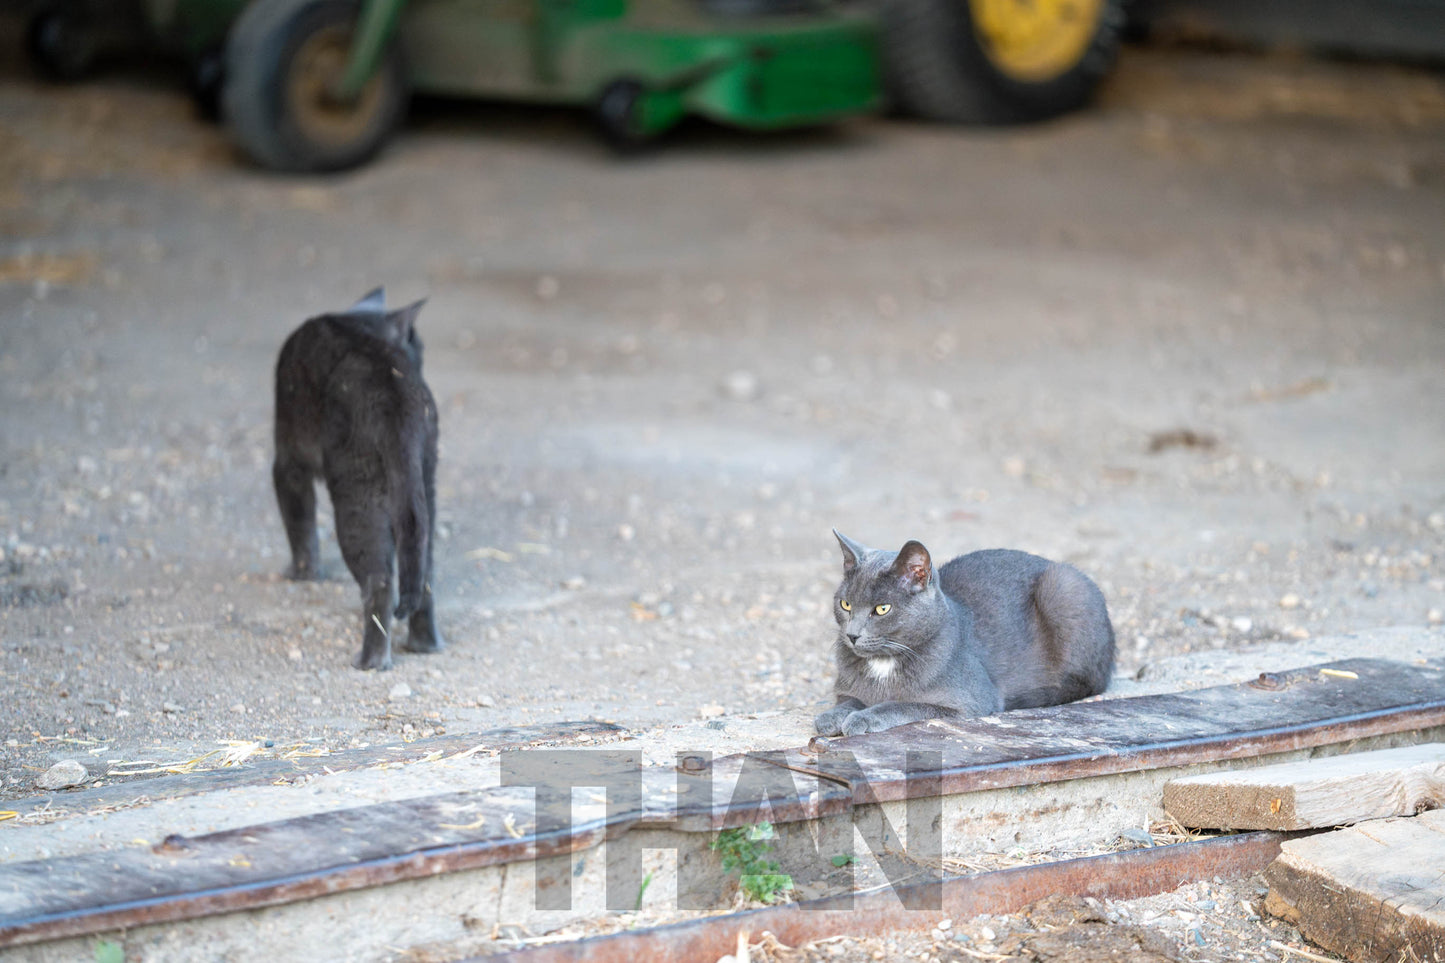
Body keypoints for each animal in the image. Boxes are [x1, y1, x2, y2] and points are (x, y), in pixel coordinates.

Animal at [273, 289, 442, 670]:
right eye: (419, 346)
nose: (423, 357)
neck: (359, 322)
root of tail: (396, 396)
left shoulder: (288, 459)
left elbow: (299, 522)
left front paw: (302, 574)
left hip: (358, 503)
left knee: (379, 585)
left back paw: (371, 660)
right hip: (424, 489)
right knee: (423, 575)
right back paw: (425, 644)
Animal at [814, 532, 1115, 734]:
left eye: (882, 609)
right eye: (845, 604)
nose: (852, 635)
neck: (883, 664)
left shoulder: (966, 701)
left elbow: (902, 705)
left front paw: (864, 718)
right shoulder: (846, 689)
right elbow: (849, 700)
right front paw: (831, 716)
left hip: (1064, 588)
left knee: (1088, 682)